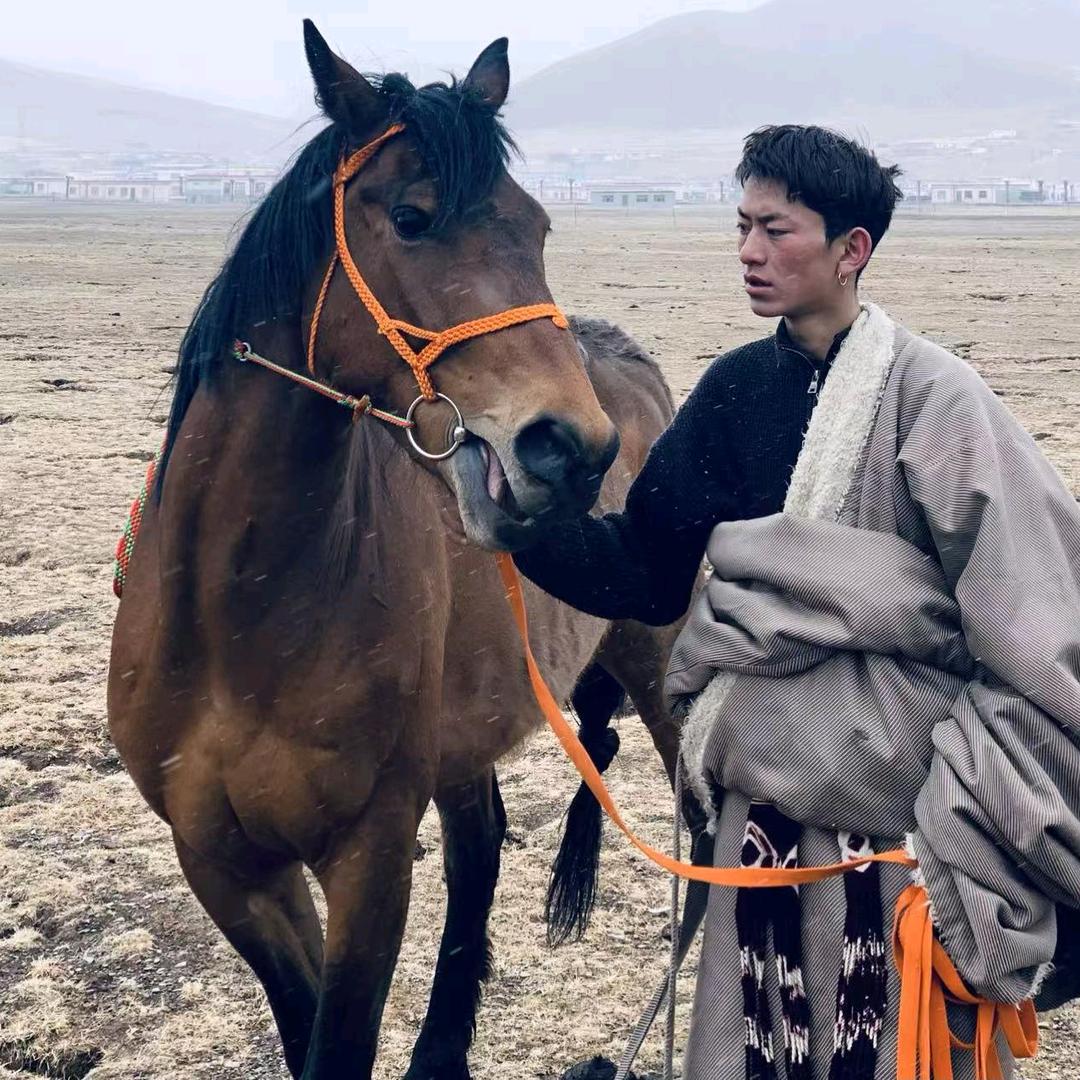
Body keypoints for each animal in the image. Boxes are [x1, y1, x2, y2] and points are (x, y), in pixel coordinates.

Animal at [108, 21, 686, 1079]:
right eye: (412, 218)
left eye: (538, 226)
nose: (573, 449)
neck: (237, 613)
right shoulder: (224, 864)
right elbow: (302, 1027)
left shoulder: (369, 858)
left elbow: (338, 1038)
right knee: (481, 849)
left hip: (657, 669)